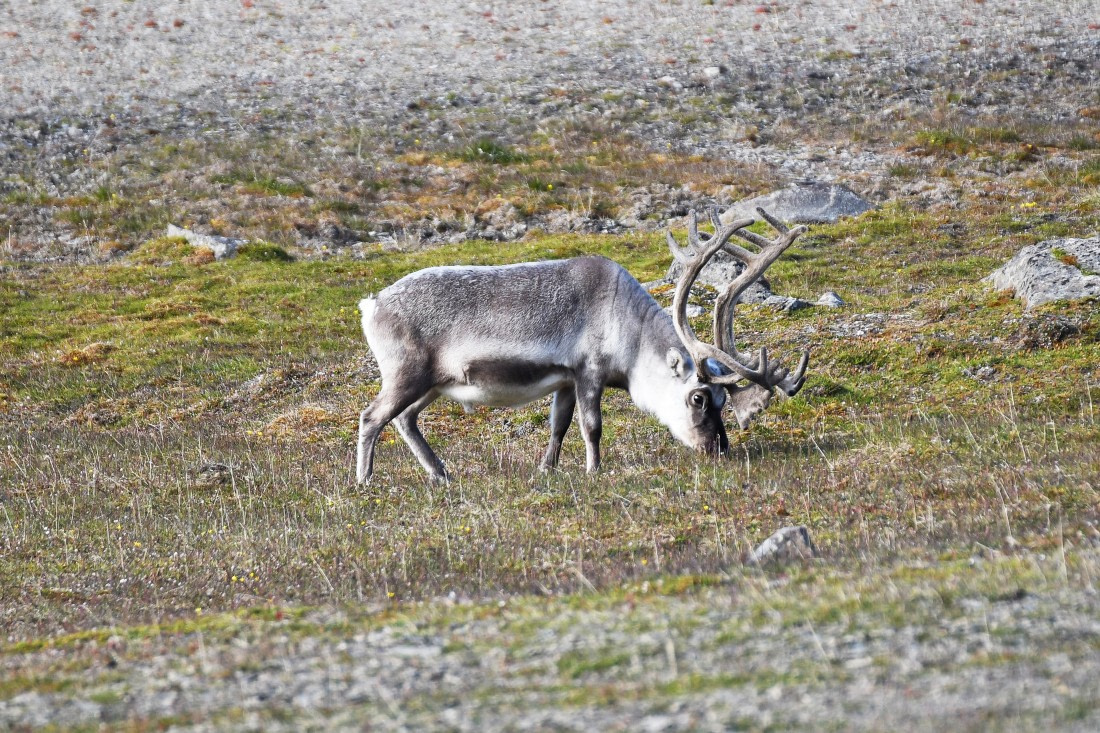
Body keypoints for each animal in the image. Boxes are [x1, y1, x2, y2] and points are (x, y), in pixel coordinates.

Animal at [356, 207, 809, 483]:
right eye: (698, 398)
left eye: (722, 400)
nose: (718, 449)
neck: (629, 329)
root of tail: (370, 303)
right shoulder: (588, 372)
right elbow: (592, 427)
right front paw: (594, 471)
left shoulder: (563, 381)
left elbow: (558, 426)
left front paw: (547, 470)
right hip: (406, 375)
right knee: (371, 417)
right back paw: (365, 481)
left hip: (431, 384)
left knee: (404, 420)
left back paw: (442, 474)